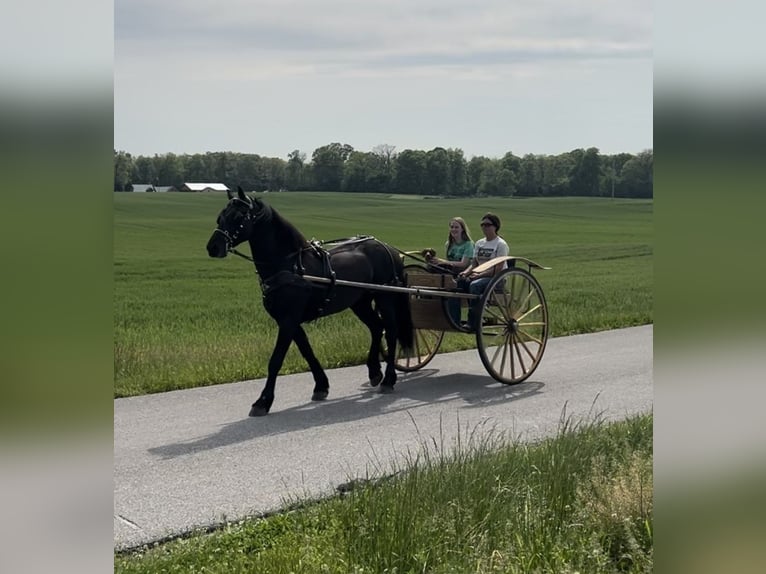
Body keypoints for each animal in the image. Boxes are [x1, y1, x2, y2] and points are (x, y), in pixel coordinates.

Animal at [206, 189, 414, 418]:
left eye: (238, 217)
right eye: (220, 217)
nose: (213, 247)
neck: (290, 265)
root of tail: (390, 249)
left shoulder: (288, 320)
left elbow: (276, 360)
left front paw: (263, 401)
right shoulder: (288, 320)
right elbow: (307, 351)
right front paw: (321, 386)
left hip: (385, 296)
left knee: (391, 331)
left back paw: (388, 379)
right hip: (360, 302)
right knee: (377, 328)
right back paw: (375, 372)